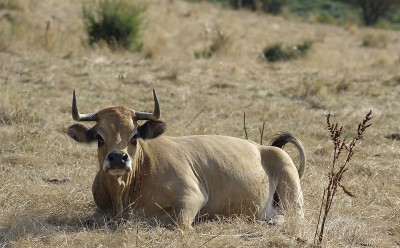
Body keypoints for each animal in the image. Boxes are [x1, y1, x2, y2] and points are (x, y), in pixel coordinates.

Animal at [68, 89, 306, 229]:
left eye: (134, 136)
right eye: (99, 138)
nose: (118, 157)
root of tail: (263, 147)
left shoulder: (193, 196)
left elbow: (179, 224)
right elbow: (91, 220)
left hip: (290, 187)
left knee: (292, 216)